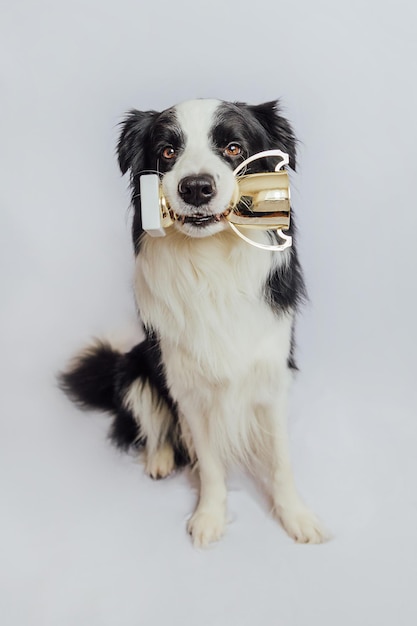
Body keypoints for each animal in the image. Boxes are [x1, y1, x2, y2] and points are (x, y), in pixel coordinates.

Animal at [61, 98, 328, 544]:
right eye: (168, 151)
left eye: (234, 148)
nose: (196, 187)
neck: (212, 264)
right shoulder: (188, 388)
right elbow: (211, 463)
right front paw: (209, 518)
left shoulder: (272, 377)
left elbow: (280, 461)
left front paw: (297, 518)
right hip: (134, 368)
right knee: (151, 425)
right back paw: (160, 460)